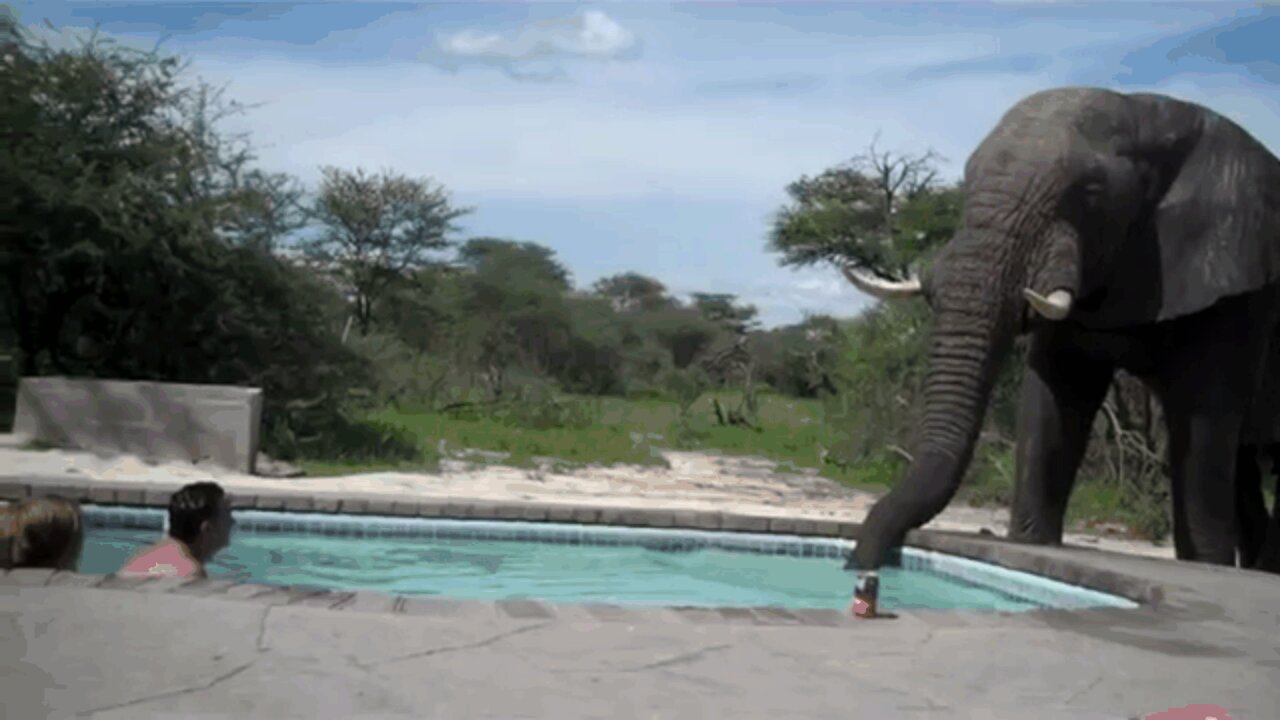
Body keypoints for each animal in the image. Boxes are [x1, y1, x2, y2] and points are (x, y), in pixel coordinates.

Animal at [839, 85, 1280, 609]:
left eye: (1091, 193)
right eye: (967, 178)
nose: (862, 571)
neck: (1149, 113)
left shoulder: (1235, 272)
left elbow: (1202, 416)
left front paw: (1206, 564)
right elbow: (1055, 393)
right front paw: (1031, 543)